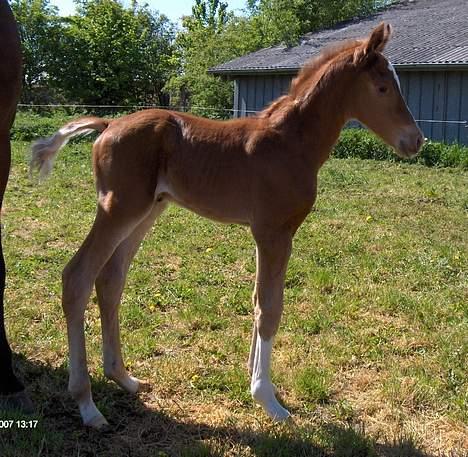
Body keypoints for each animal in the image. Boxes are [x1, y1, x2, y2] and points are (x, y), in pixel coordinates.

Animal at [31, 23, 422, 426]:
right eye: (382, 88)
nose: (417, 140)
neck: (291, 143)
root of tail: (108, 124)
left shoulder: (272, 233)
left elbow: (258, 299)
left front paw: (256, 379)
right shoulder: (272, 231)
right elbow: (270, 308)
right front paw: (267, 398)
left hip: (146, 212)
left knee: (110, 280)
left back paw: (124, 378)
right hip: (118, 209)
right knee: (77, 277)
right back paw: (87, 404)